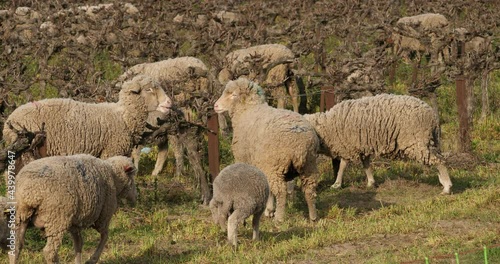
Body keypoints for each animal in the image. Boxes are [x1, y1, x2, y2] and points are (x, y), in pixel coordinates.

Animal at [9, 155, 137, 264]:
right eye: (132, 176)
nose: (136, 197)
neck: (113, 176)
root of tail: (28, 190)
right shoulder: (104, 215)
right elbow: (105, 236)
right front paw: (92, 259)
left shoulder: (75, 223)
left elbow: (78, 244)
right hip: (57, 218)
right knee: (49, 252)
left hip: (21, 216)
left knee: (15, 248)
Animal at [215, 77, 320, 222]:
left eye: (233, 95)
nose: (215, 106)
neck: (247, 110)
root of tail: (299, 143)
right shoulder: (263, 164)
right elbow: (268, 188)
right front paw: (268, 210)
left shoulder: (247, 159)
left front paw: (268, 210)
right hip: (309, 164)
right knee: (309, 189)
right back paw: (313, 217)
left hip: (275, 165)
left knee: (281, 192)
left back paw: (279, 218)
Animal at [304, 93, 454, 194]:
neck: (327, 126)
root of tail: (432, 116)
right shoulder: (361, 146)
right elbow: (366, 165)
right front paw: (371, 182)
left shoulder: (349, 146)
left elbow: (343, 165)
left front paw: (336, 184)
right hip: (429, 141)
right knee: (437, 159)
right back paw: (442, 181)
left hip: (417, 141)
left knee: (438, 161)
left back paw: (446, 187)